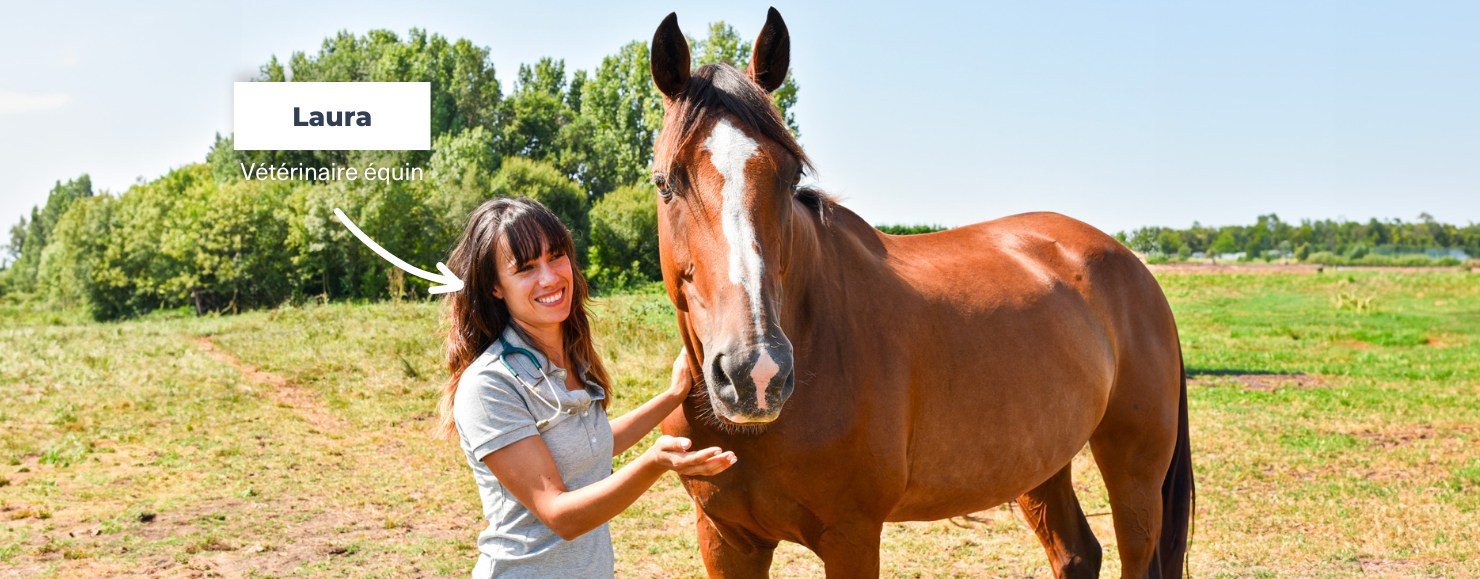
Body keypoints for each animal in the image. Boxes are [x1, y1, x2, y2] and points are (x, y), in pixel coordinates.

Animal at [648, 10, 1189, 579]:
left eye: (791, 176)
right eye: (665, 182)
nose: (756, 373)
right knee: (1078, 553)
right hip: (1043, 462)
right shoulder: (725, 539)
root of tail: (1131, 266)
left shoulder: (851, 536)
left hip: (1134, 470)